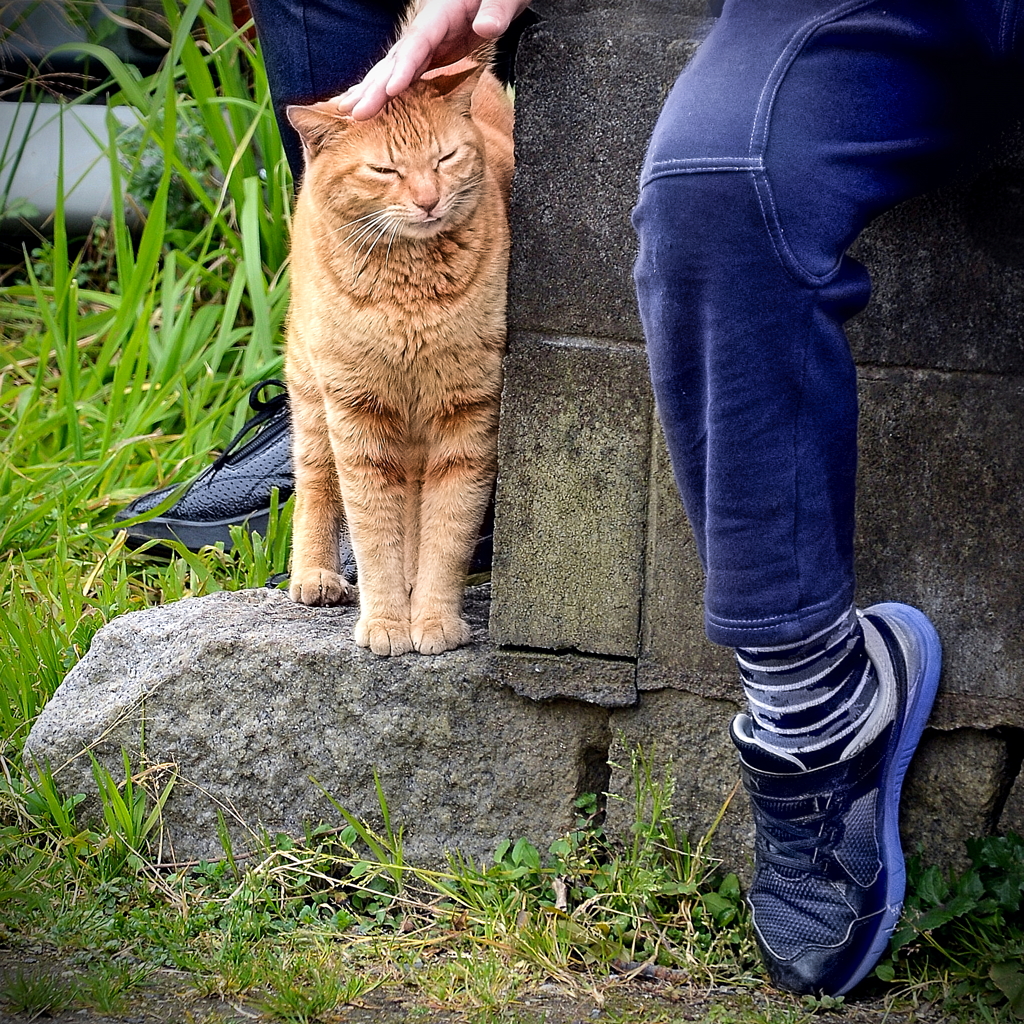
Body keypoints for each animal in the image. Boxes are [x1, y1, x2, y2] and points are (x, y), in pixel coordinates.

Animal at [284, 56, 512, 655]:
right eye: (384, 170)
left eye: (445, 158)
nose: (428, 199)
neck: (408, 290)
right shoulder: (358, 416)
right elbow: (372, 534)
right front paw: (387, 622)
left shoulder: (467, 416)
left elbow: (447, 531)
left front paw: (431, 619)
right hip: (312, 396)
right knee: (315, 481)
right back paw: (315, 574)